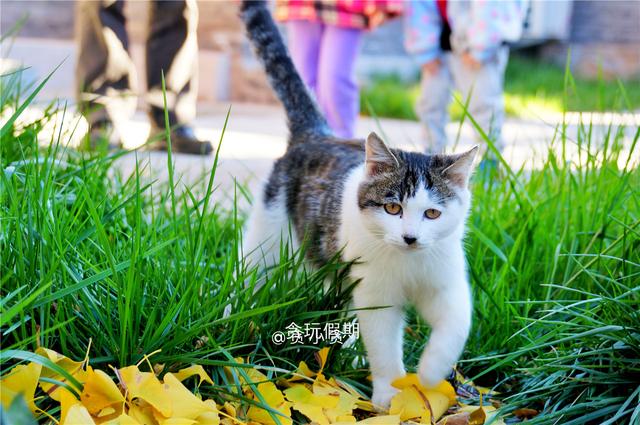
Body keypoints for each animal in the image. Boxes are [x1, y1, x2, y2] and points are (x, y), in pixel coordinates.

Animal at [239, 1, 476, 410]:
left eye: (432, 213)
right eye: (393, 209)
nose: (410, 238)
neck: (407, 264)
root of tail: (316, 134)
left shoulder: (445, 282)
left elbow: (456, 325)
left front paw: (431, 374)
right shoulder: (377, 294)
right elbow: (383, 342)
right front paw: (389, 394)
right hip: (267, 237)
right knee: (250, 274)